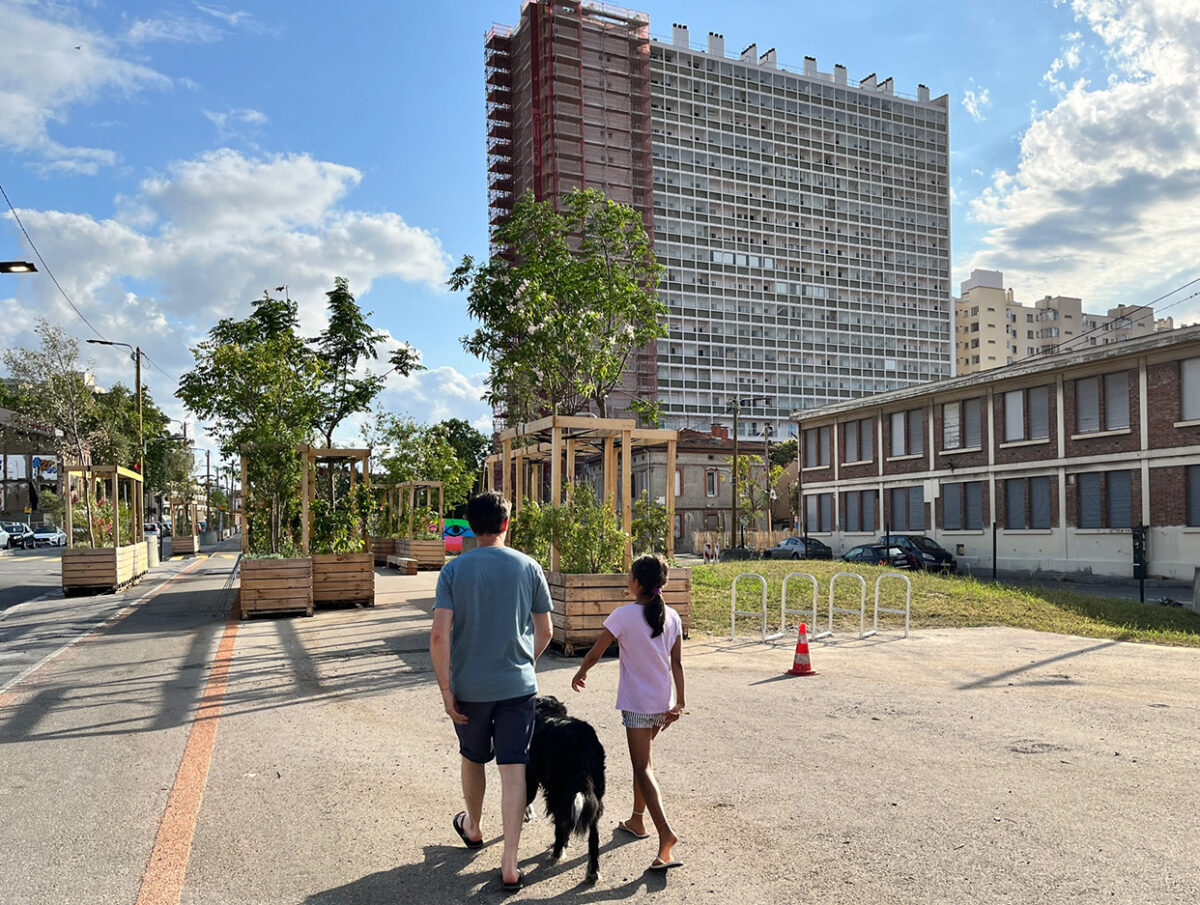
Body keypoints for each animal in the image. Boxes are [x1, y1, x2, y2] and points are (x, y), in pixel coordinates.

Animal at [525, 696, 604, 878]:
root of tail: (583, 743)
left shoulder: (529, 777)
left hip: (557, 792)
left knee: (560, 824)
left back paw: (557, 851)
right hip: (595, 795)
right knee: (593, 834)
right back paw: (592, 871)